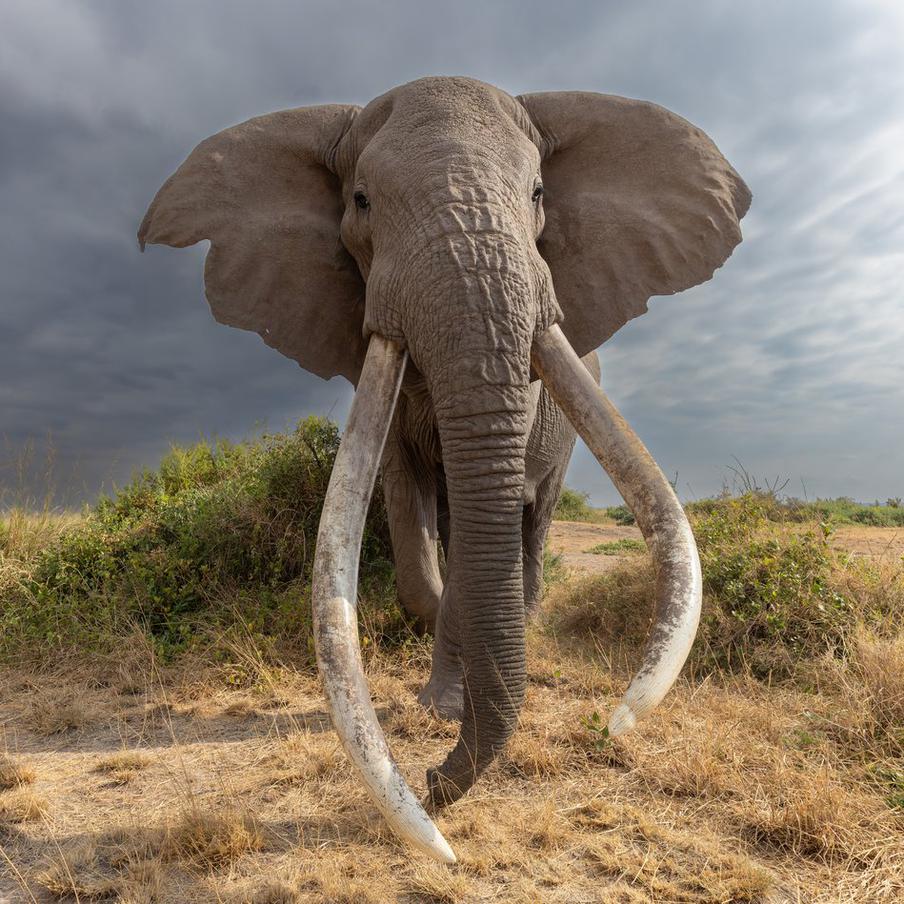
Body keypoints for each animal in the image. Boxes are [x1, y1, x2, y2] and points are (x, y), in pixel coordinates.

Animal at [139, 76, 750, 862]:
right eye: (361, 201)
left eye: (539, 193)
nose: (432, 782)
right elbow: (412, 516)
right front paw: (441, 705)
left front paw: (450, 709)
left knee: (531, 523)